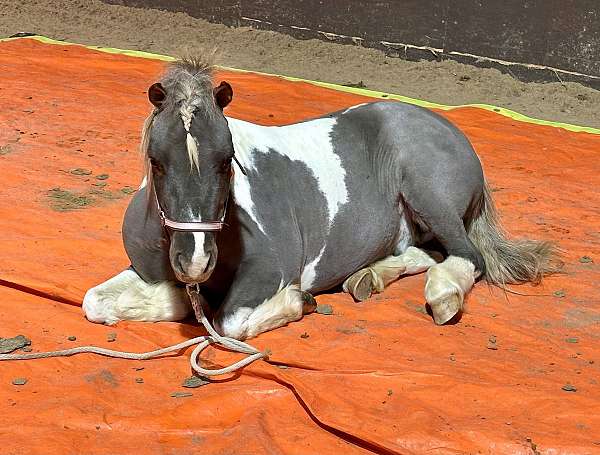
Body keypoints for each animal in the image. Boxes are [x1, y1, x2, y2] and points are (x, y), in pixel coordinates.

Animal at [82, 57, 560, 340]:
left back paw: (442, 296)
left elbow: (229, 321)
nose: (196, 262)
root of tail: (445, 124)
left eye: (227, 158)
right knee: (425, 252)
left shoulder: (268, 272)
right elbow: (95, 301)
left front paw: (298, 301)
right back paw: (368, 278)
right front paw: (169, 301)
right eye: (156, 160)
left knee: (465, 255)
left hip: (429, 195)